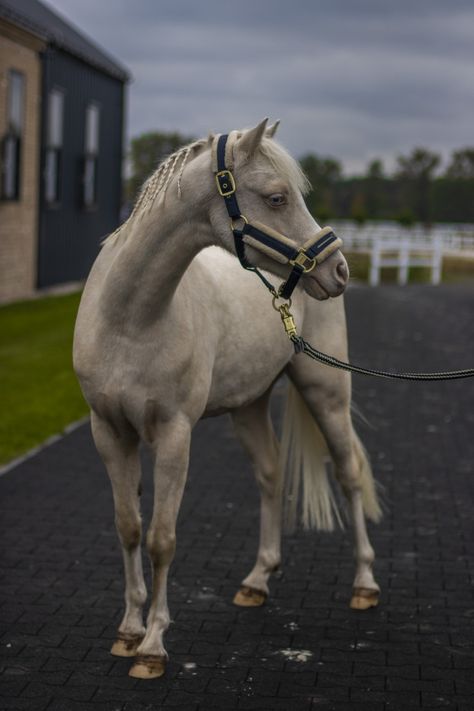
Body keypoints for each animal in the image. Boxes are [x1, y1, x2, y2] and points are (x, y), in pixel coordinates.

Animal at [73, 119, 382, 680]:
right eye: (277, 197)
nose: (341, 270)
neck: (131, 319)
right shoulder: (108, 432)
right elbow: (129, 529)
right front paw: (128, 631)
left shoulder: (174, 435)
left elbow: (162, 538)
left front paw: (153, 646)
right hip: (249, 406)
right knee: (271, 474)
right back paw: (256, 581)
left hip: (326, 392)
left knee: (348, 472)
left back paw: (364, 585)